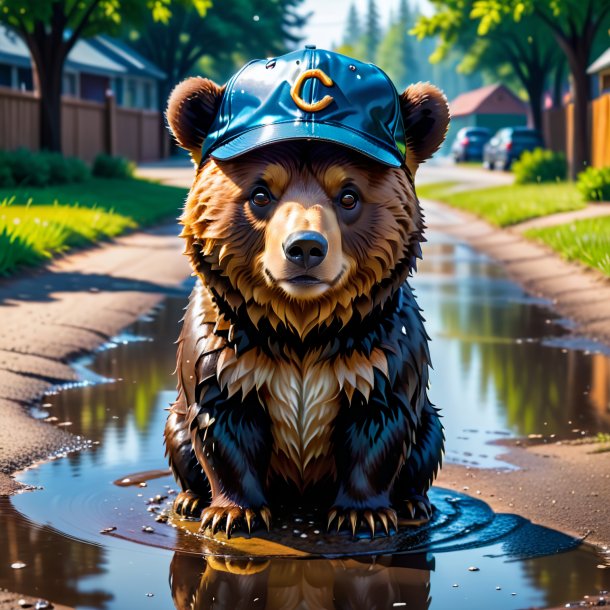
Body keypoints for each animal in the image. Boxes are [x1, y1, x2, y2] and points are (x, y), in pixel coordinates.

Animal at [162, 46, 446, 536]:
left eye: (348, 196)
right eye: (260, 194)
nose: (306, 247)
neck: (302, 327)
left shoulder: (377, 352)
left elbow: (379, 429)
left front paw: (363, 514)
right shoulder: (229, 349)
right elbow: (223, 428)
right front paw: (233, 511)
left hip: (426, 420)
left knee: (426, 440)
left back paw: (413, 503)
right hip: (176, 415)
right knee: (178, 434)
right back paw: (190, 500)